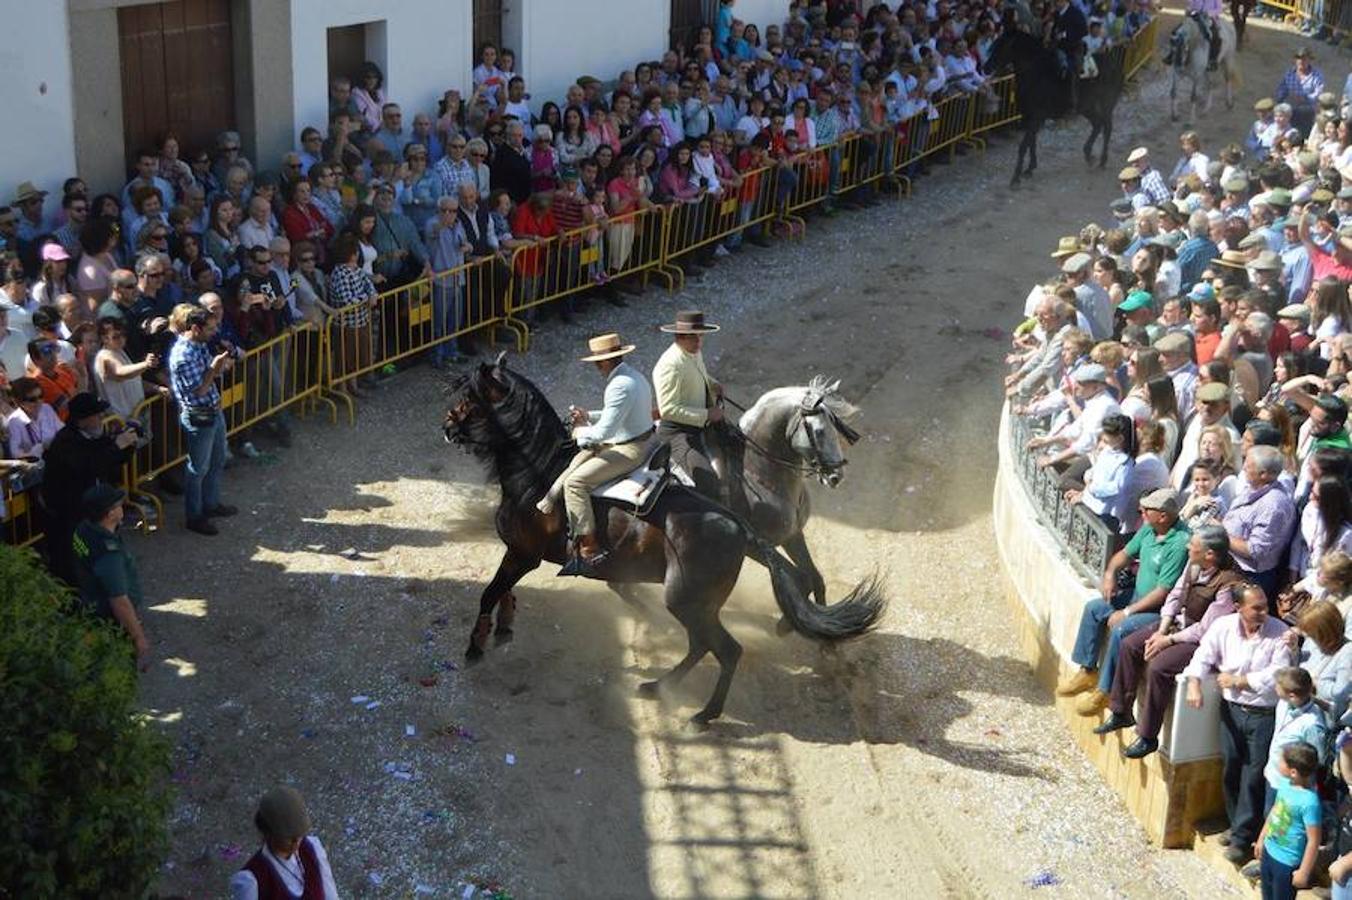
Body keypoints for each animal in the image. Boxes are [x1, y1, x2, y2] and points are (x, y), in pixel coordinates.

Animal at [443, 356, 886, 724]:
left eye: (468, 398)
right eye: (817, 428)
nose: (447, 427)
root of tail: (731, 525)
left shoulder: (523, 554)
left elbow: (490, 591)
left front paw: (475, 646)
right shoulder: (520, 554)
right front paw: (501, 628)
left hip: (687, 600)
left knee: (718, 646)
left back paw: (699, 709)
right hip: (689, 598)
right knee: (693, 638)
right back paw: (662, 684)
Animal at [984, 27, 1130, 185]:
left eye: (1001, 46)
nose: (986, 68)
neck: (1036, 74)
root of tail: (1115, 65)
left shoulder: (1036, 116)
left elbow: (1023, 145)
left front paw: (1015, 178)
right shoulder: (1029, 116)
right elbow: (1031, 142)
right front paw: (1029, 169)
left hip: (1106, 104)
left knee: (1107, 127)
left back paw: (1102, 161)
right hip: (1087, 107)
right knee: (1098, 124)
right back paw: (1088, 154)